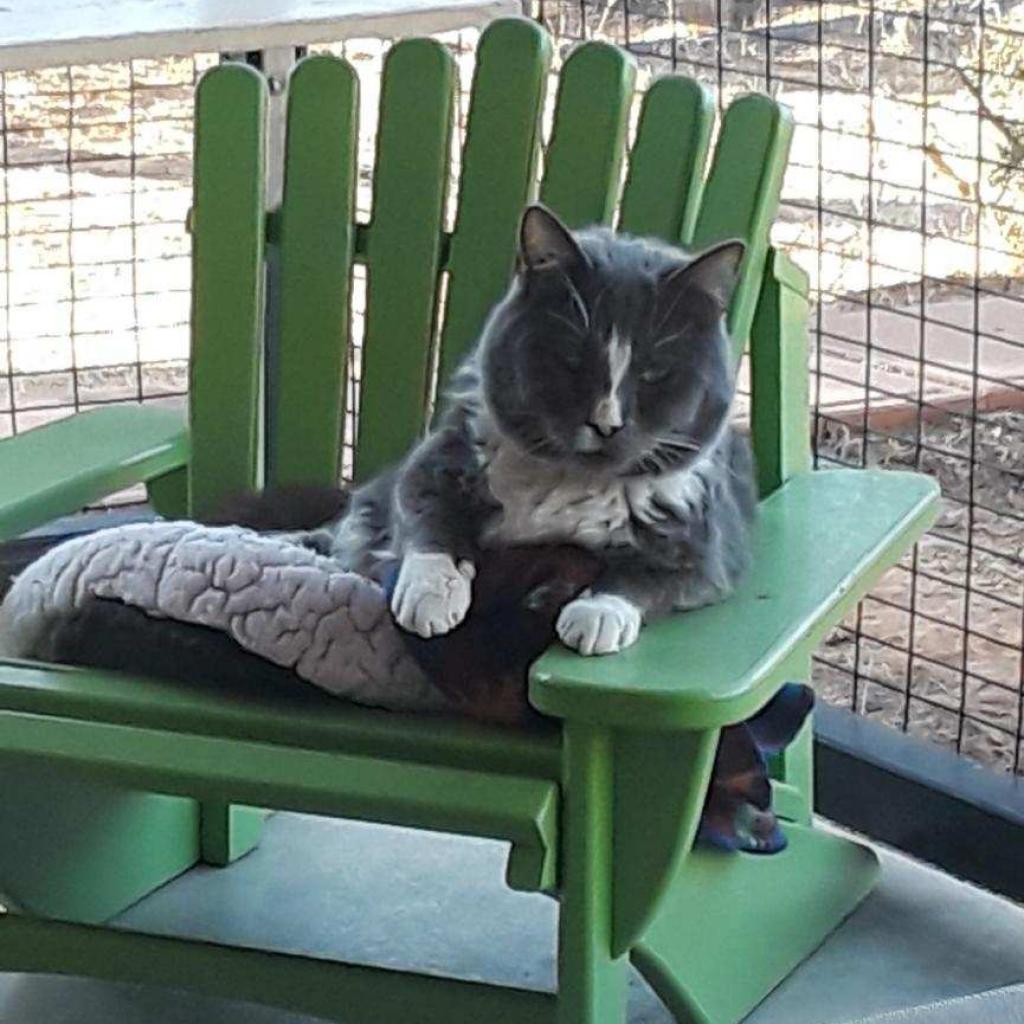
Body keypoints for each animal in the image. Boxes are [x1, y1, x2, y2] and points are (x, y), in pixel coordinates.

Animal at [307, 206, 757, 655]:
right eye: (571, 358)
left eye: (655, 372)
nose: (606, 423)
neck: (570, 485)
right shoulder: (434, 462)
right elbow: (426, 519)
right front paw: (433, 595)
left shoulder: (705, 549)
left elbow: (649, 577)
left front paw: (596, 613)